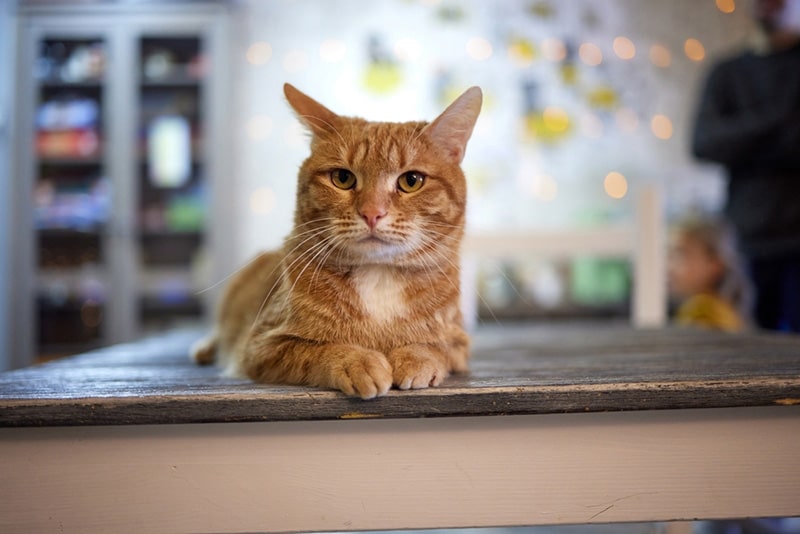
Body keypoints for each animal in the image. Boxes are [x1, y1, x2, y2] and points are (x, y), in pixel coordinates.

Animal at [192, 84, 482, 400]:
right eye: (342, 178)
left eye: (412, 180)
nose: (372, 213)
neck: (378, 277)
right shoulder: (260, 346)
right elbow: (317, 350)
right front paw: (357, 361)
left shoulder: (460, 344)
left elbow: (437, 348)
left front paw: (415, 357)